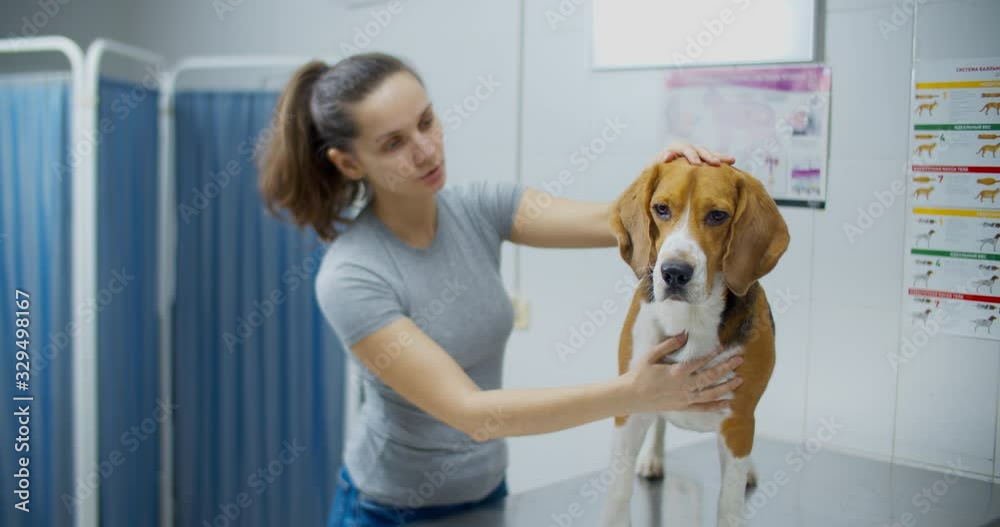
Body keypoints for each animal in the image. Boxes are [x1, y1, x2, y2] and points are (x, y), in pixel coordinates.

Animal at [596, 161, 792, 527]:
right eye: (661, 209)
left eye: (717, 215)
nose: (674, 272)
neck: (690, 317)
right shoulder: (630, 405)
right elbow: (618, 494)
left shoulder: (738, 421)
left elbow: (729, 504)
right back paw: (653, 458)